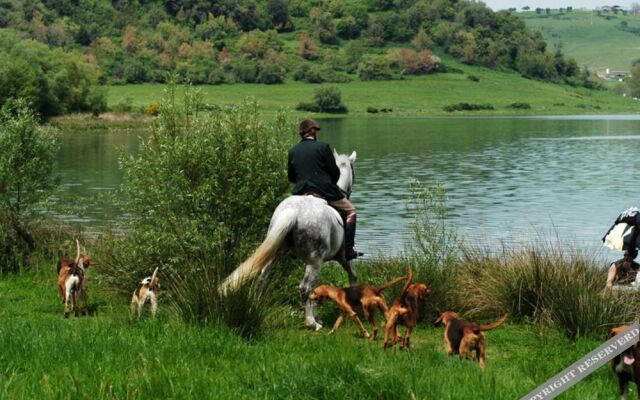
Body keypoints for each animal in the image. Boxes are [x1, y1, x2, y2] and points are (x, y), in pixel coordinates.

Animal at [220, 148, 358, 330]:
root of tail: (293, 212)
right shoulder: (342, 257)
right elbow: (353, 276)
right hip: (315, 260)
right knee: (306, 288)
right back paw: (312, 323)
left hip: (276, 252)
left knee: (263, 278)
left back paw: (255, 307)